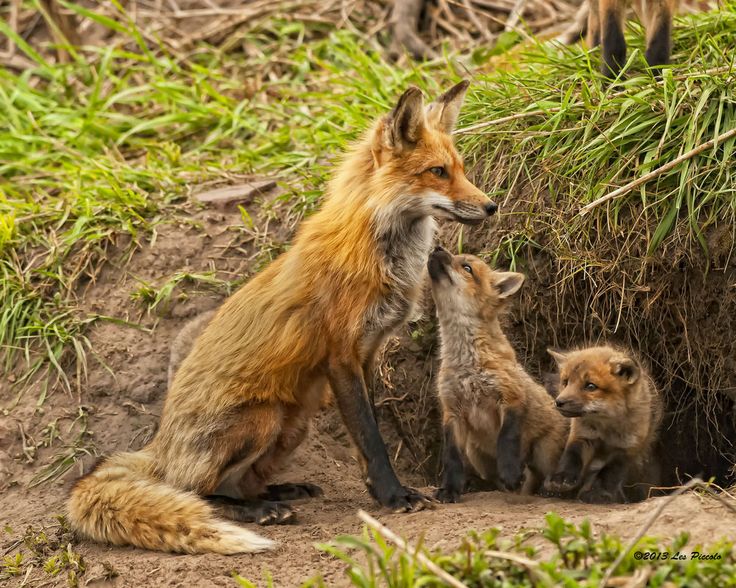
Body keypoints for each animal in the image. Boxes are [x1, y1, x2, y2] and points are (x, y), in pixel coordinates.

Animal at [67, 81, 498, 554]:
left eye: (460, 169)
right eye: (438, 171)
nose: (491, 206)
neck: (377, 249)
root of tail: (159, 447)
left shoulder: (367, 353)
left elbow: (368, 437)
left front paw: (380, 493)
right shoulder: (340, 357)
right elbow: (372, 440)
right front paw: (394, 496)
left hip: (293, 425)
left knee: (236, 483)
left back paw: (278, 492)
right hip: (263, 418)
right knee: (197, 491)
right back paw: (258, 511)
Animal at [428, 249, 569, 502]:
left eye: (467, 268)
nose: (437, 248)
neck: (467, 363)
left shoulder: (510, 397)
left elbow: (507, 440)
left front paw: (511, 473)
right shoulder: (452, 411)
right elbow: (451, 458)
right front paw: (450, 489)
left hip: (543, 452)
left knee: (542, 477)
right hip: (476, 454)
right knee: (494, 480)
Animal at [544, 345, 663, 503]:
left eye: (590, 386)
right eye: (566, 382)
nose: (559, 402)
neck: (606, 427)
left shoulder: (628, 448)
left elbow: (609, 473)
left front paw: (598, 492)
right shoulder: (583, 435)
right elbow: (571, 457)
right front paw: (561, 478)